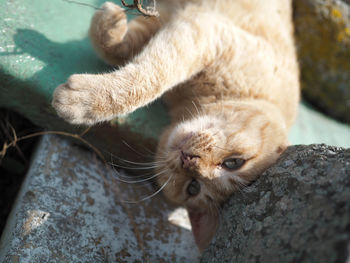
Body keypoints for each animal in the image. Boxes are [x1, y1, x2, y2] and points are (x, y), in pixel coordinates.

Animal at [51, 0, 298, 252]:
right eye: (234, 162)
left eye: (193, 187)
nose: (189, 160)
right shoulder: (198, 30)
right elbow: (149, 74)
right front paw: (111, 24)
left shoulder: (185, 25)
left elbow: (142, 68)